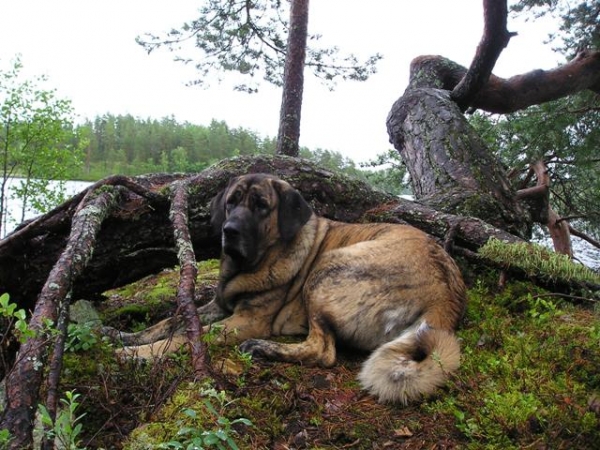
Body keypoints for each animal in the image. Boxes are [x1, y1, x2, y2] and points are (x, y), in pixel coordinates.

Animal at [113, 173, 468, 404]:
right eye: (231, 203)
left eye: (261, 205)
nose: (230, 230)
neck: (253, 262)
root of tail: (446, 294)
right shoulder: (218, 306)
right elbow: (171, 322)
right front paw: (124, 336)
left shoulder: (246, 320)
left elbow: (185, 336)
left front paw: (136, 354)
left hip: (328, 268)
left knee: (322, 351)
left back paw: (263, 348)